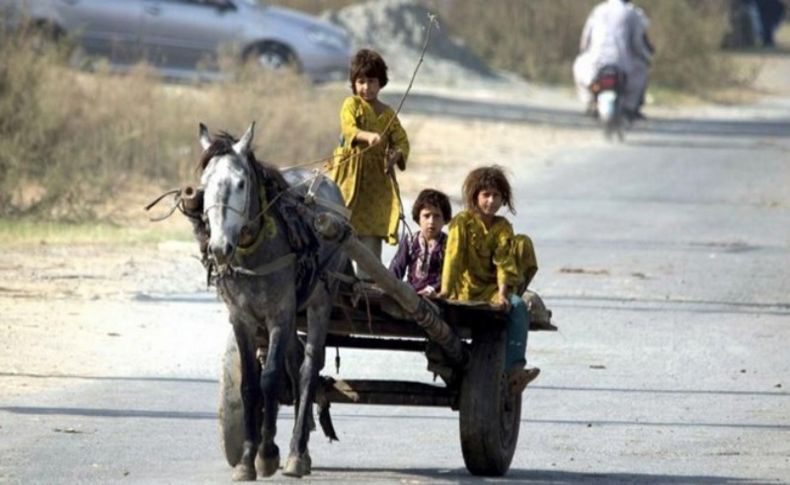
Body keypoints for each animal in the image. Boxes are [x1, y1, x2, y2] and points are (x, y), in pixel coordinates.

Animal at [196, 122, 350, 480]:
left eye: (240, 183)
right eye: (204, 184)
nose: (219, 247)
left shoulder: (279, 315)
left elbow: (269, 380)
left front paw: (267, 454)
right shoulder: (241, 318)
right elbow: (250, 386)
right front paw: (246, 458)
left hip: (320, 302)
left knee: (307, 370)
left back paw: (296, 453)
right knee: (294, 364)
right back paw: (301, 445)